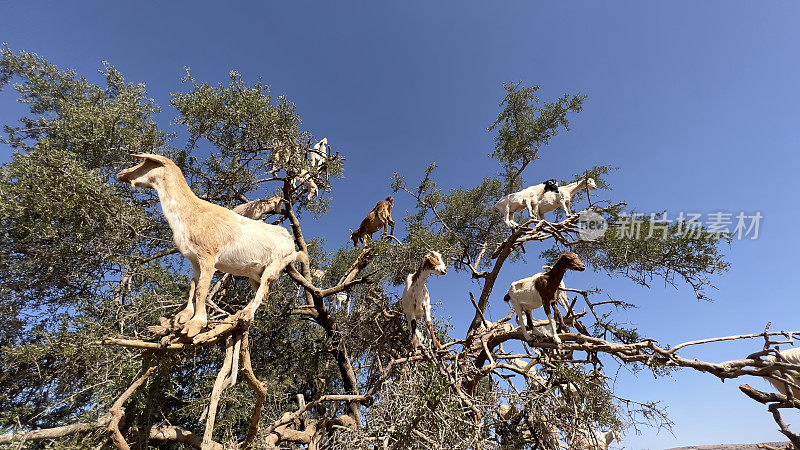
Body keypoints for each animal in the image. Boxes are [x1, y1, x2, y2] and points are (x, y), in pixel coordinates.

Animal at [117, 155, 308, 338]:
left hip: (274, 266)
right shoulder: (194, 260)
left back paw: (245, 314)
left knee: (263, 289)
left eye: (147, 162)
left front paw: (195, 324)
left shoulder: (208, 256)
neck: (191, 213)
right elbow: (193, 287)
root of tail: (293, 249)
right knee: (263, 292)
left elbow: (202, 289)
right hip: (255, 274)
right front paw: (183, 316)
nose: (122, 173)